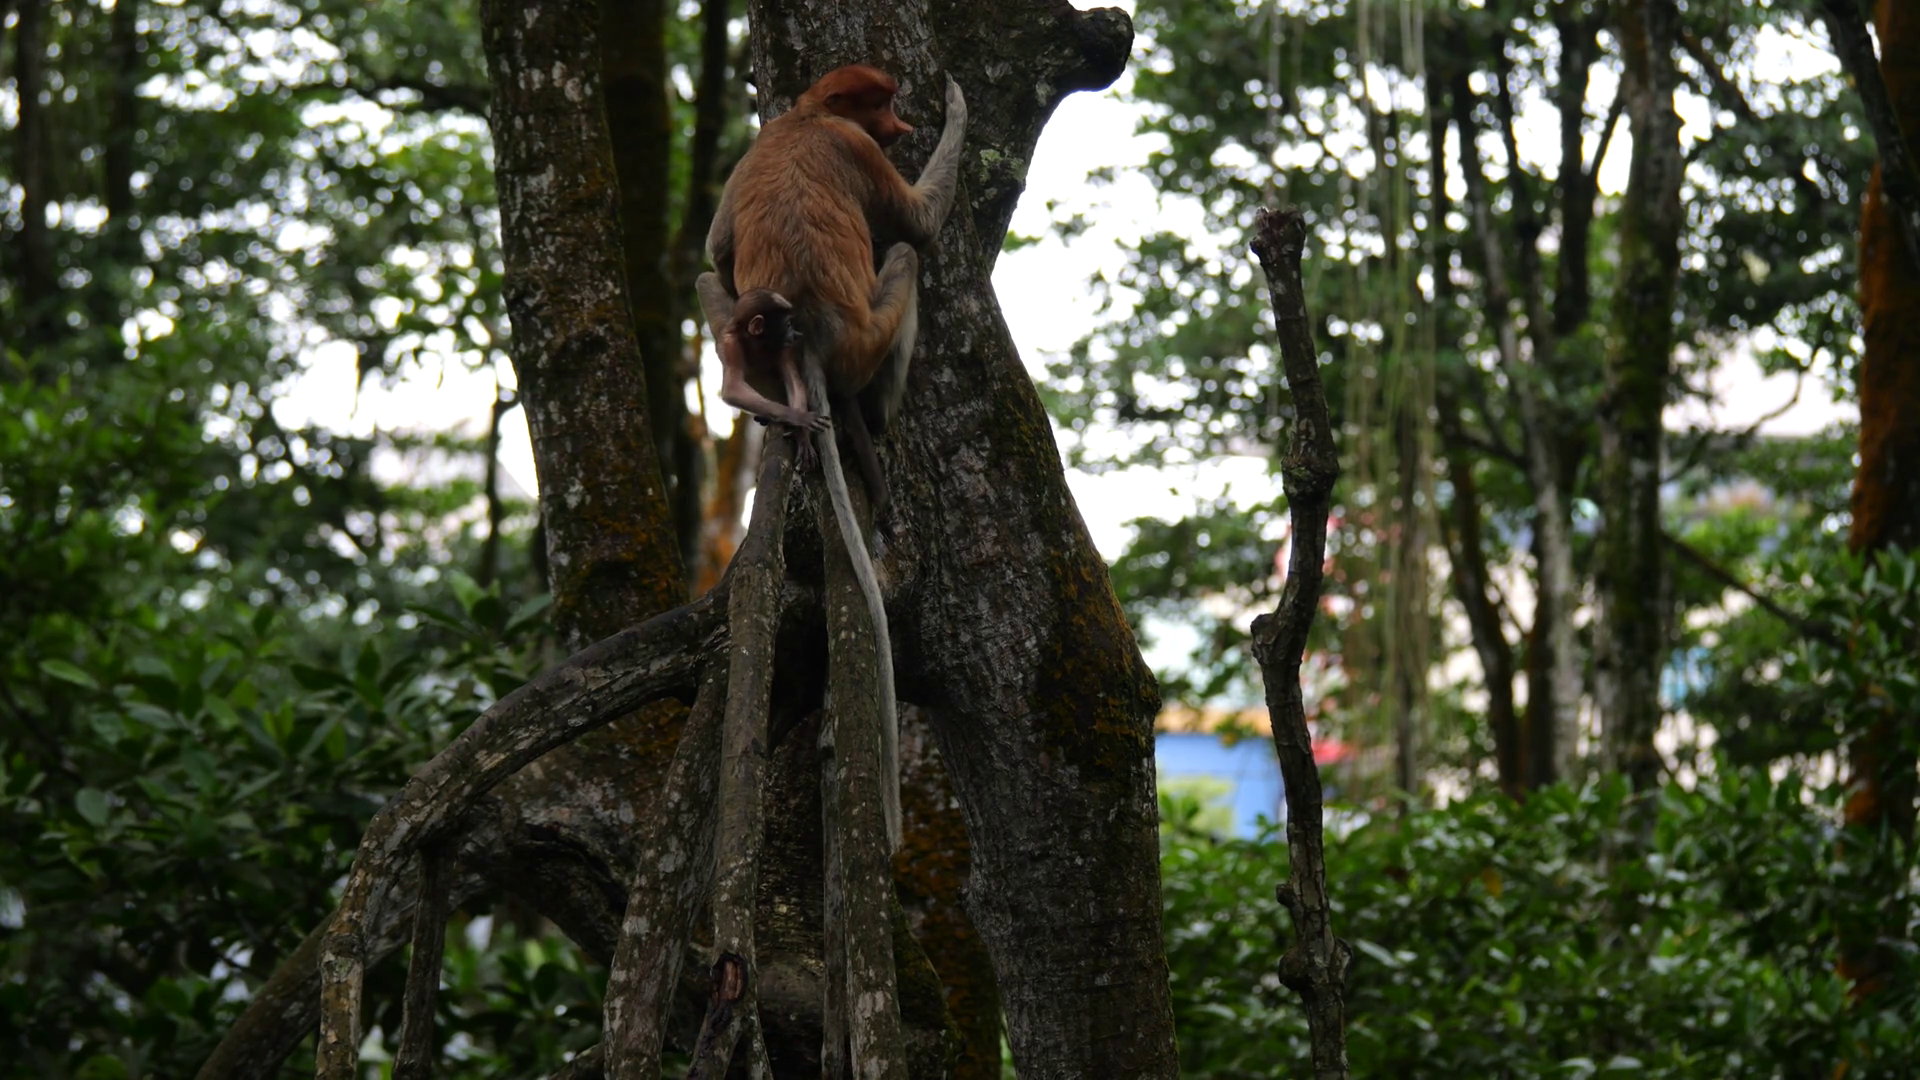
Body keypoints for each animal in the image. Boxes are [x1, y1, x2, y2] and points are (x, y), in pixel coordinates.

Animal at [697, 64, 968, 849]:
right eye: (884, 105)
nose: (903, 125)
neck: (808, 115)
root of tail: (808, 336)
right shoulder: (857, 148)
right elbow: (919, 227)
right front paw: (957, 105)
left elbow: (715, 247)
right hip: (871, 332)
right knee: (904, 255)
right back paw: (872, 416)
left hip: (746, 342)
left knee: (710, 282)